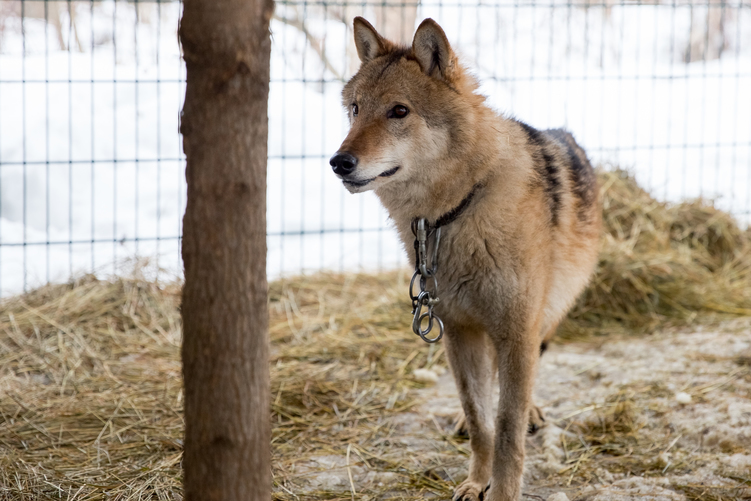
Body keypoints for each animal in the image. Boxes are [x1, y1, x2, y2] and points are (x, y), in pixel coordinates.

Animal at [332, 17, 604, 498]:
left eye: (398, 111)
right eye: (356, 109)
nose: (338, 162)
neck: (454, 214)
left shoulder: (516, 331)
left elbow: (508, 426)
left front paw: (504, 490)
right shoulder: (458, 331)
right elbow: (481, 419)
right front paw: (477, 480)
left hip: (545, 315)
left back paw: (533, 411)